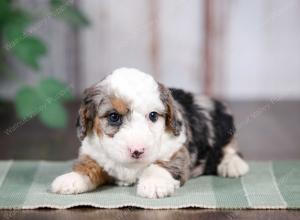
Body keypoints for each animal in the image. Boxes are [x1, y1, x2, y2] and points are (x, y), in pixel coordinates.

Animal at [51, 68, 248, 199]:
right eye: (114, 117)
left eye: (153, 115)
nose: (137, 151)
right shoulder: (93, 152)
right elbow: (87, 166)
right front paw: (71, 179)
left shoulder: (176, 150)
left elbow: (161, 165)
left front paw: (154, 183)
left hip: (223, 126)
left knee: (231, 147)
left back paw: (233, 165)